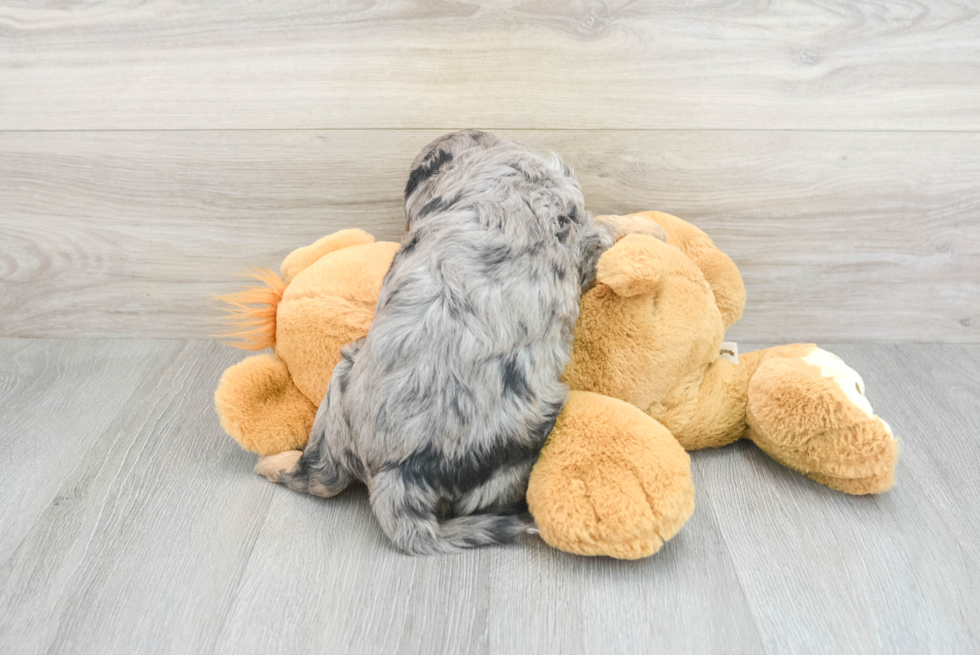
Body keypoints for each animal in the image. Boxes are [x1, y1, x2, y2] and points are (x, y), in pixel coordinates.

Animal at [258, 132, 668, 552]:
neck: (512, 179)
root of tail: (396, 480)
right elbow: (606, 226)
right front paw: (650, 228)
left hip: (343, 375)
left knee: (320, 477)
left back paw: (273, 463)